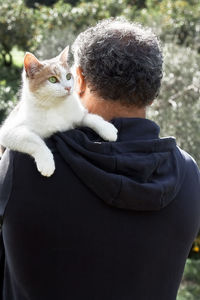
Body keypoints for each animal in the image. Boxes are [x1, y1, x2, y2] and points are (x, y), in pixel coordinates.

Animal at [0, 46, 118, 177]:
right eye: (52, 79)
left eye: (68, 76)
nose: (68, 87)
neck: (55, 106)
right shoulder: (8, 132)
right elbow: (35, 141)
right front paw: (46, 162)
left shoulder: (77, 115)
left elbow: (90, 117)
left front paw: (107, 129)